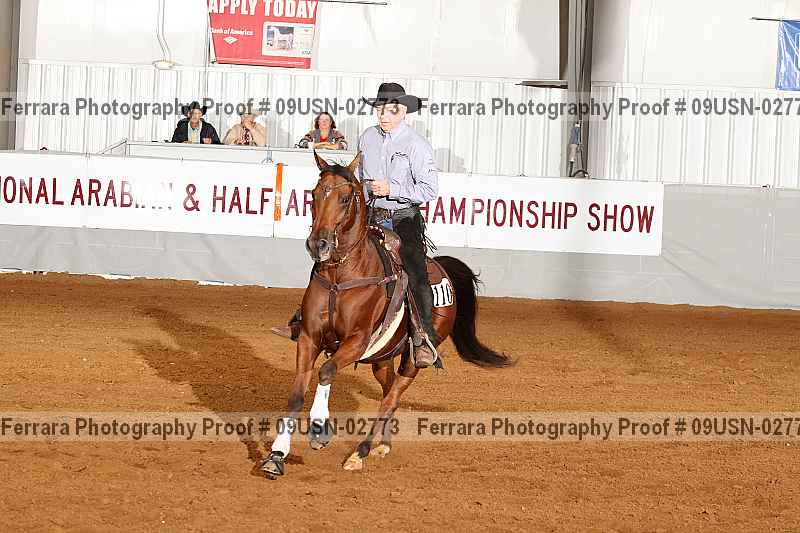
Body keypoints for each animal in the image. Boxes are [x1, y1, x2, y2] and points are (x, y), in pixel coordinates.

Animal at [261, 151, 510, 477]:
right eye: (314, 195)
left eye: (344, 198)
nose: (318, 244)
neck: (343, 275)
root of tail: (441, 267)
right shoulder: (309, 337)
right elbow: (296, 394)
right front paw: (277, 454)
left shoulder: (357, 341)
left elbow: (326, 371)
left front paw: (319, 430)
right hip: (382, 358)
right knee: (389, 390)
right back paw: (383, 444)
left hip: (413, 359)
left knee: (392, 397)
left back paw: (360, 452)